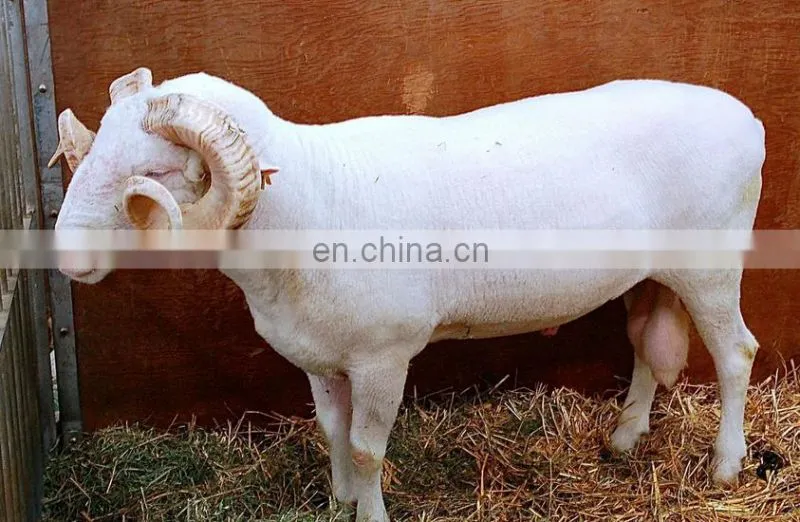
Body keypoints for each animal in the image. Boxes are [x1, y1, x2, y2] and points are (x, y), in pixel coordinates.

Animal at [50, 67, 765, 522]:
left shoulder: (382, 355)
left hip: (711, 267)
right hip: (653, 276)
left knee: (737, 356)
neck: (311, 201)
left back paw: (726, 465)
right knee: (646, 346)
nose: (67, 257)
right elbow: (331, 429)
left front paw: (369, 513)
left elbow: (369, 447)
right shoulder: (321, 354)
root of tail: (747, 118)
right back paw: (625, 436)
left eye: (156, 173)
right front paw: (338, 499)